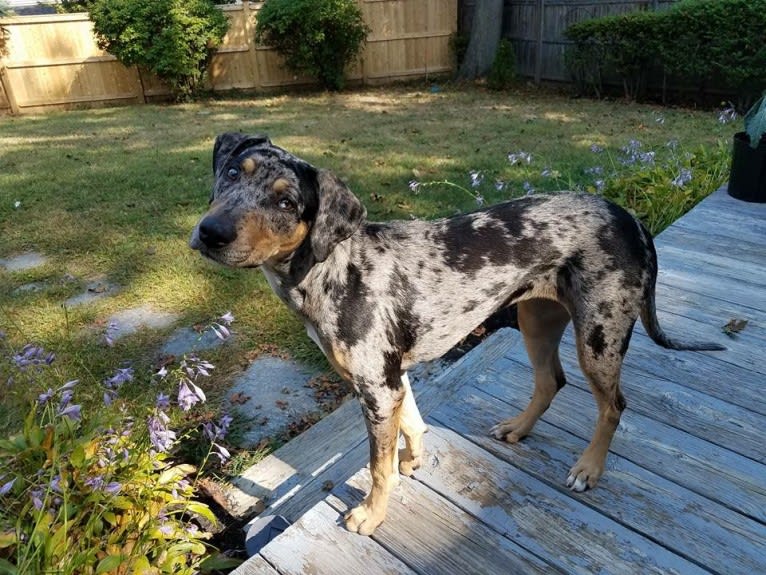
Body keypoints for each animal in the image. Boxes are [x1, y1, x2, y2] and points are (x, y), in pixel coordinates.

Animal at [190, 133, 728, 536]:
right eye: (233, 172)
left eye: (286, 201)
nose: (211, 232)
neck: (331, 268)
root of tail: (629, 216)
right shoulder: (392, 379)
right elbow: (413, 424)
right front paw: (413, 462)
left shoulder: (376, 389)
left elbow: (378, 466)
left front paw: (372, 513)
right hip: (536, 321)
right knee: (550, 381)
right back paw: (518, 429)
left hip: (598, 337)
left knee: (613, 405)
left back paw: (588, 469)